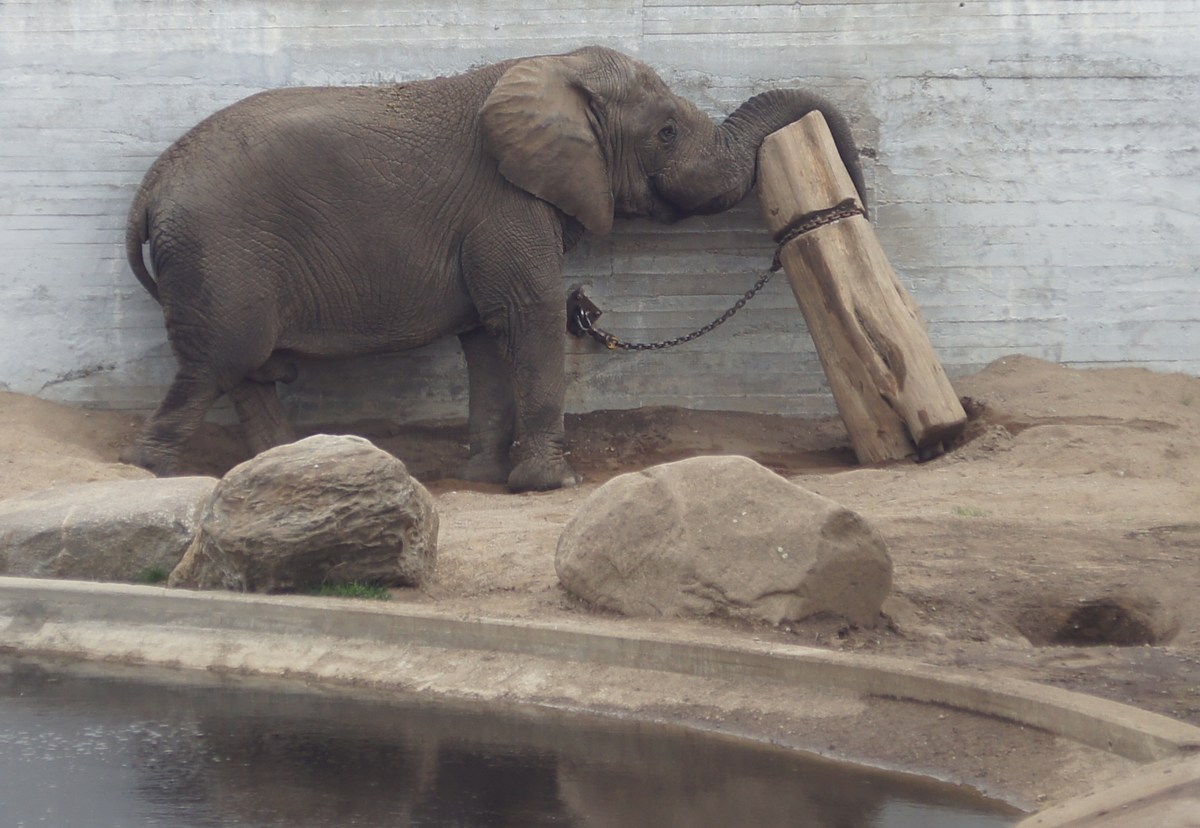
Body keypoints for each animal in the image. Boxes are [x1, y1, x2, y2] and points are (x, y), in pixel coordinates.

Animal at [122, 45, 866, 491]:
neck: (553, 66)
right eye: (665, 133)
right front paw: (550, 484)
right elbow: (529, 315)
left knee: (241, 370)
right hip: (222, 255)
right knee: (220, 361)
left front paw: (482, 476)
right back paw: (151, 473)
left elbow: (484, 337)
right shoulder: (505, 202)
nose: (858, 200)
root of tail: (150, 187)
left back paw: (279, 469)